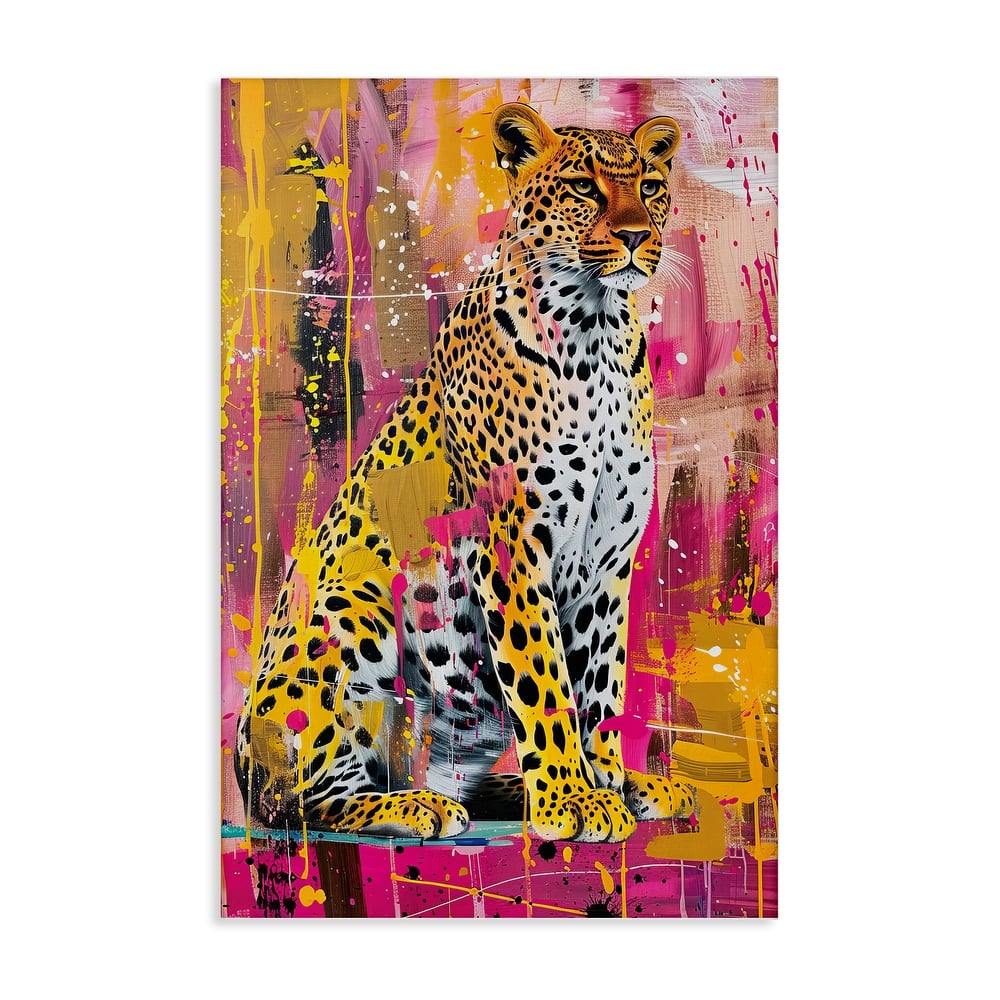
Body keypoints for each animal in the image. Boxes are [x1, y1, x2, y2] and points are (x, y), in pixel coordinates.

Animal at [235, 102, 697, 843]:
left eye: (650, 187)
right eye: (583, 188)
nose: (635, 238)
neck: (596, 331)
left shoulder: (607, 565)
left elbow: (599, 689)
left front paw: (612, 787)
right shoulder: (512, 543)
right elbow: (544, 681)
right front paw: (570, 799)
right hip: (349, 610)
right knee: (305, 802)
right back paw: (414, 807)